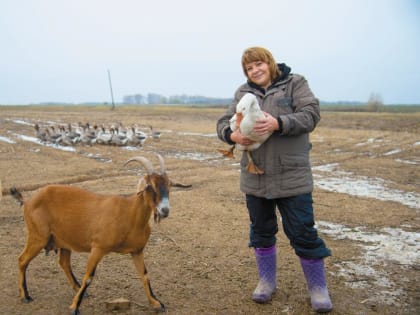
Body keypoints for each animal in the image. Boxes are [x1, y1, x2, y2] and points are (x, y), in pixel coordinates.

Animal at [11, 156, 172, 315]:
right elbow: (88, 277)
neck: (129, 213)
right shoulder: (98, 248)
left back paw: (77, 289)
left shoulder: (137, 251)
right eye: (150, 186)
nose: (165, 210)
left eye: (169, 184)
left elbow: (144, 275)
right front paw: (74, 307)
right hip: (38, 236)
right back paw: (25, 296)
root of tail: (27, 201)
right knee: (22, 260)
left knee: (63, 263)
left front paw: (157, 303)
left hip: (63, 241)